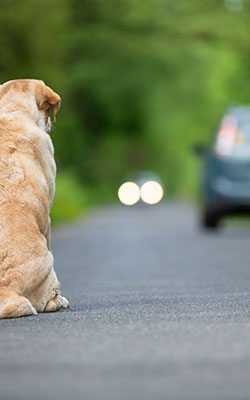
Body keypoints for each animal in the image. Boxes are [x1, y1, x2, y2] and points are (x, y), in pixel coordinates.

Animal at [0, 79, 69, 318]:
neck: (13, 111)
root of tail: (6, 290)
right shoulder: (47, 218)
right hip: (49, 262)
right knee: (48, 301)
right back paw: (60, 301)